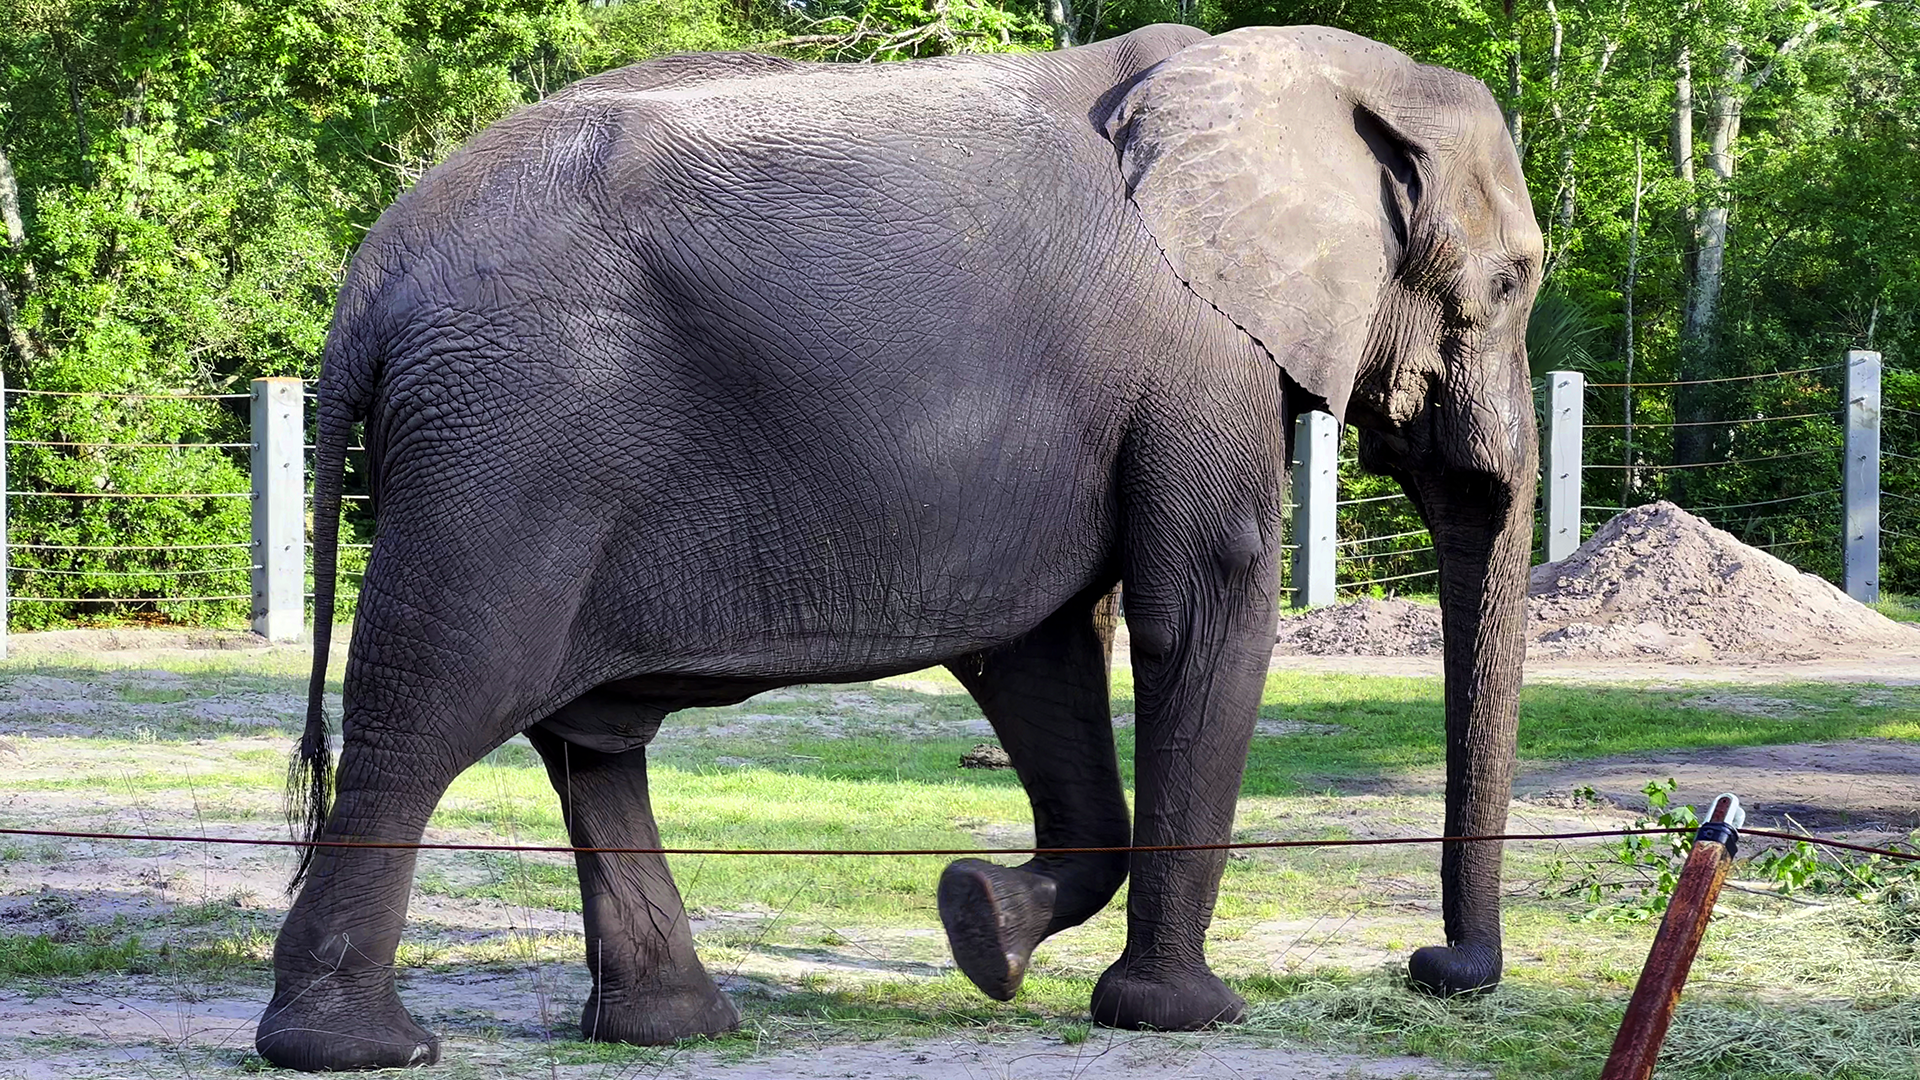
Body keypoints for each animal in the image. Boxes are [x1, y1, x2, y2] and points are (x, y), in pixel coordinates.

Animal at [257, 22, 1542, 1071]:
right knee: (432, 709)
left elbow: (1043, 651)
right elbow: (1202, 609)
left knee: (590, 740)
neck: (1309, 77)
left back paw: (675, 1030)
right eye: (1513, 280)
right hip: (510, 440)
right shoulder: (1201, 350)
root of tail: (369, 282)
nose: (1438, 972)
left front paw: (981, 926)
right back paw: (360, 1050)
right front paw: (1183, 1017)